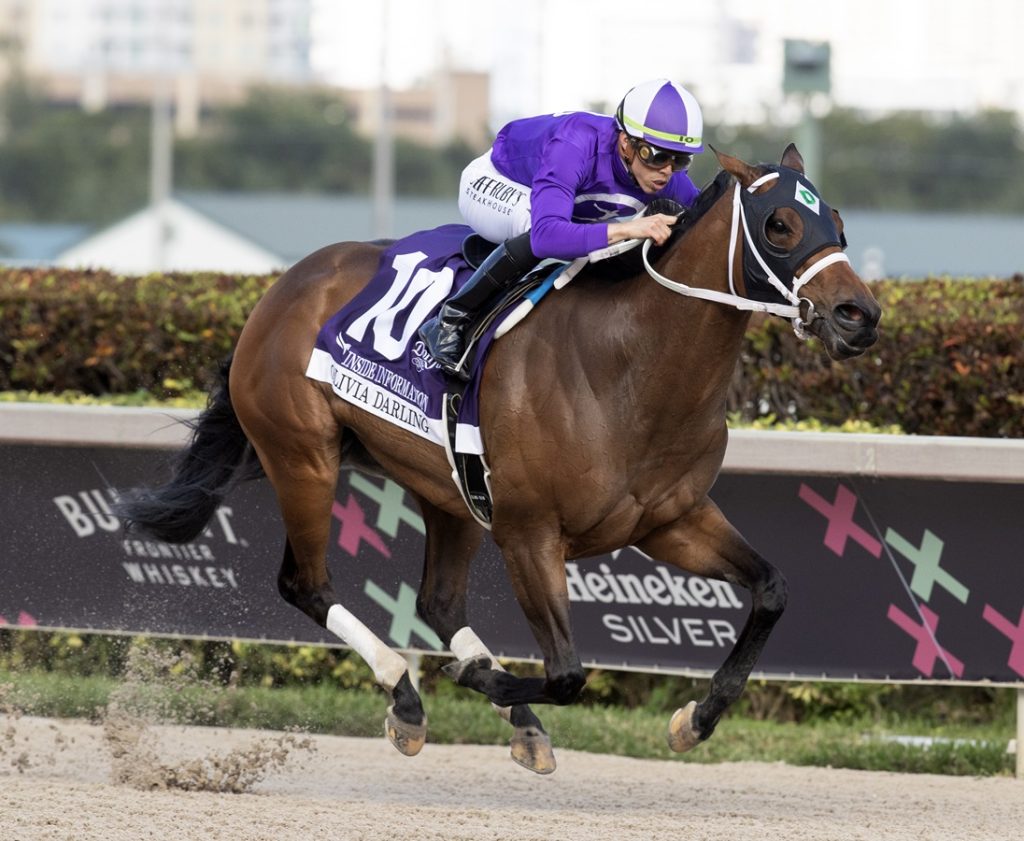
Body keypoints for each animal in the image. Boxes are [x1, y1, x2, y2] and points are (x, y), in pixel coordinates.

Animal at [117, 144, 880, 774]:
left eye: (839, 222)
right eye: (779, 225)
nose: (859, 315)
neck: (628, 367)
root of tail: (283, 288)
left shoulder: (671, 520)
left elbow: (772, 589)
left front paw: (694, 718)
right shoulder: (528, 531)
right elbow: (568, 669)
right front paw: (488, 682)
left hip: (445, 488)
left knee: (436, 598)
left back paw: (501, 711)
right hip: (302, 455)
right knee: (306, 584)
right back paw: (407, 693)